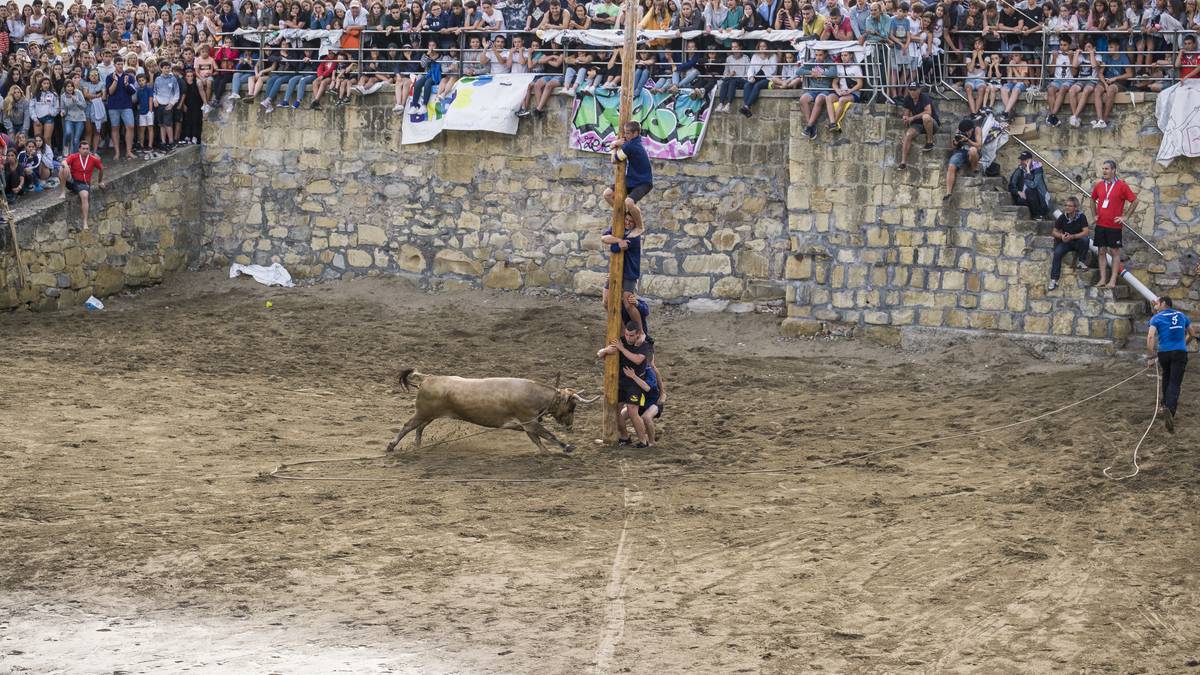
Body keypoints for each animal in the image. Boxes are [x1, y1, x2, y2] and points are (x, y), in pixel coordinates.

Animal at [384, 367, 600, 451]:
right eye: (572, 406)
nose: (570, 425)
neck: (534, 394)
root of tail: (428, 378)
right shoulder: (529, 422)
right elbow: (548, 435)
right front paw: (567, 447)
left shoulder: (527, 425)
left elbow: (539, 441)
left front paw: (547, 453)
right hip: (423, 413)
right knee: (407, 426)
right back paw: (391, 446)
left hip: (428, 415)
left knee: (418, 428)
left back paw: (418, 445)